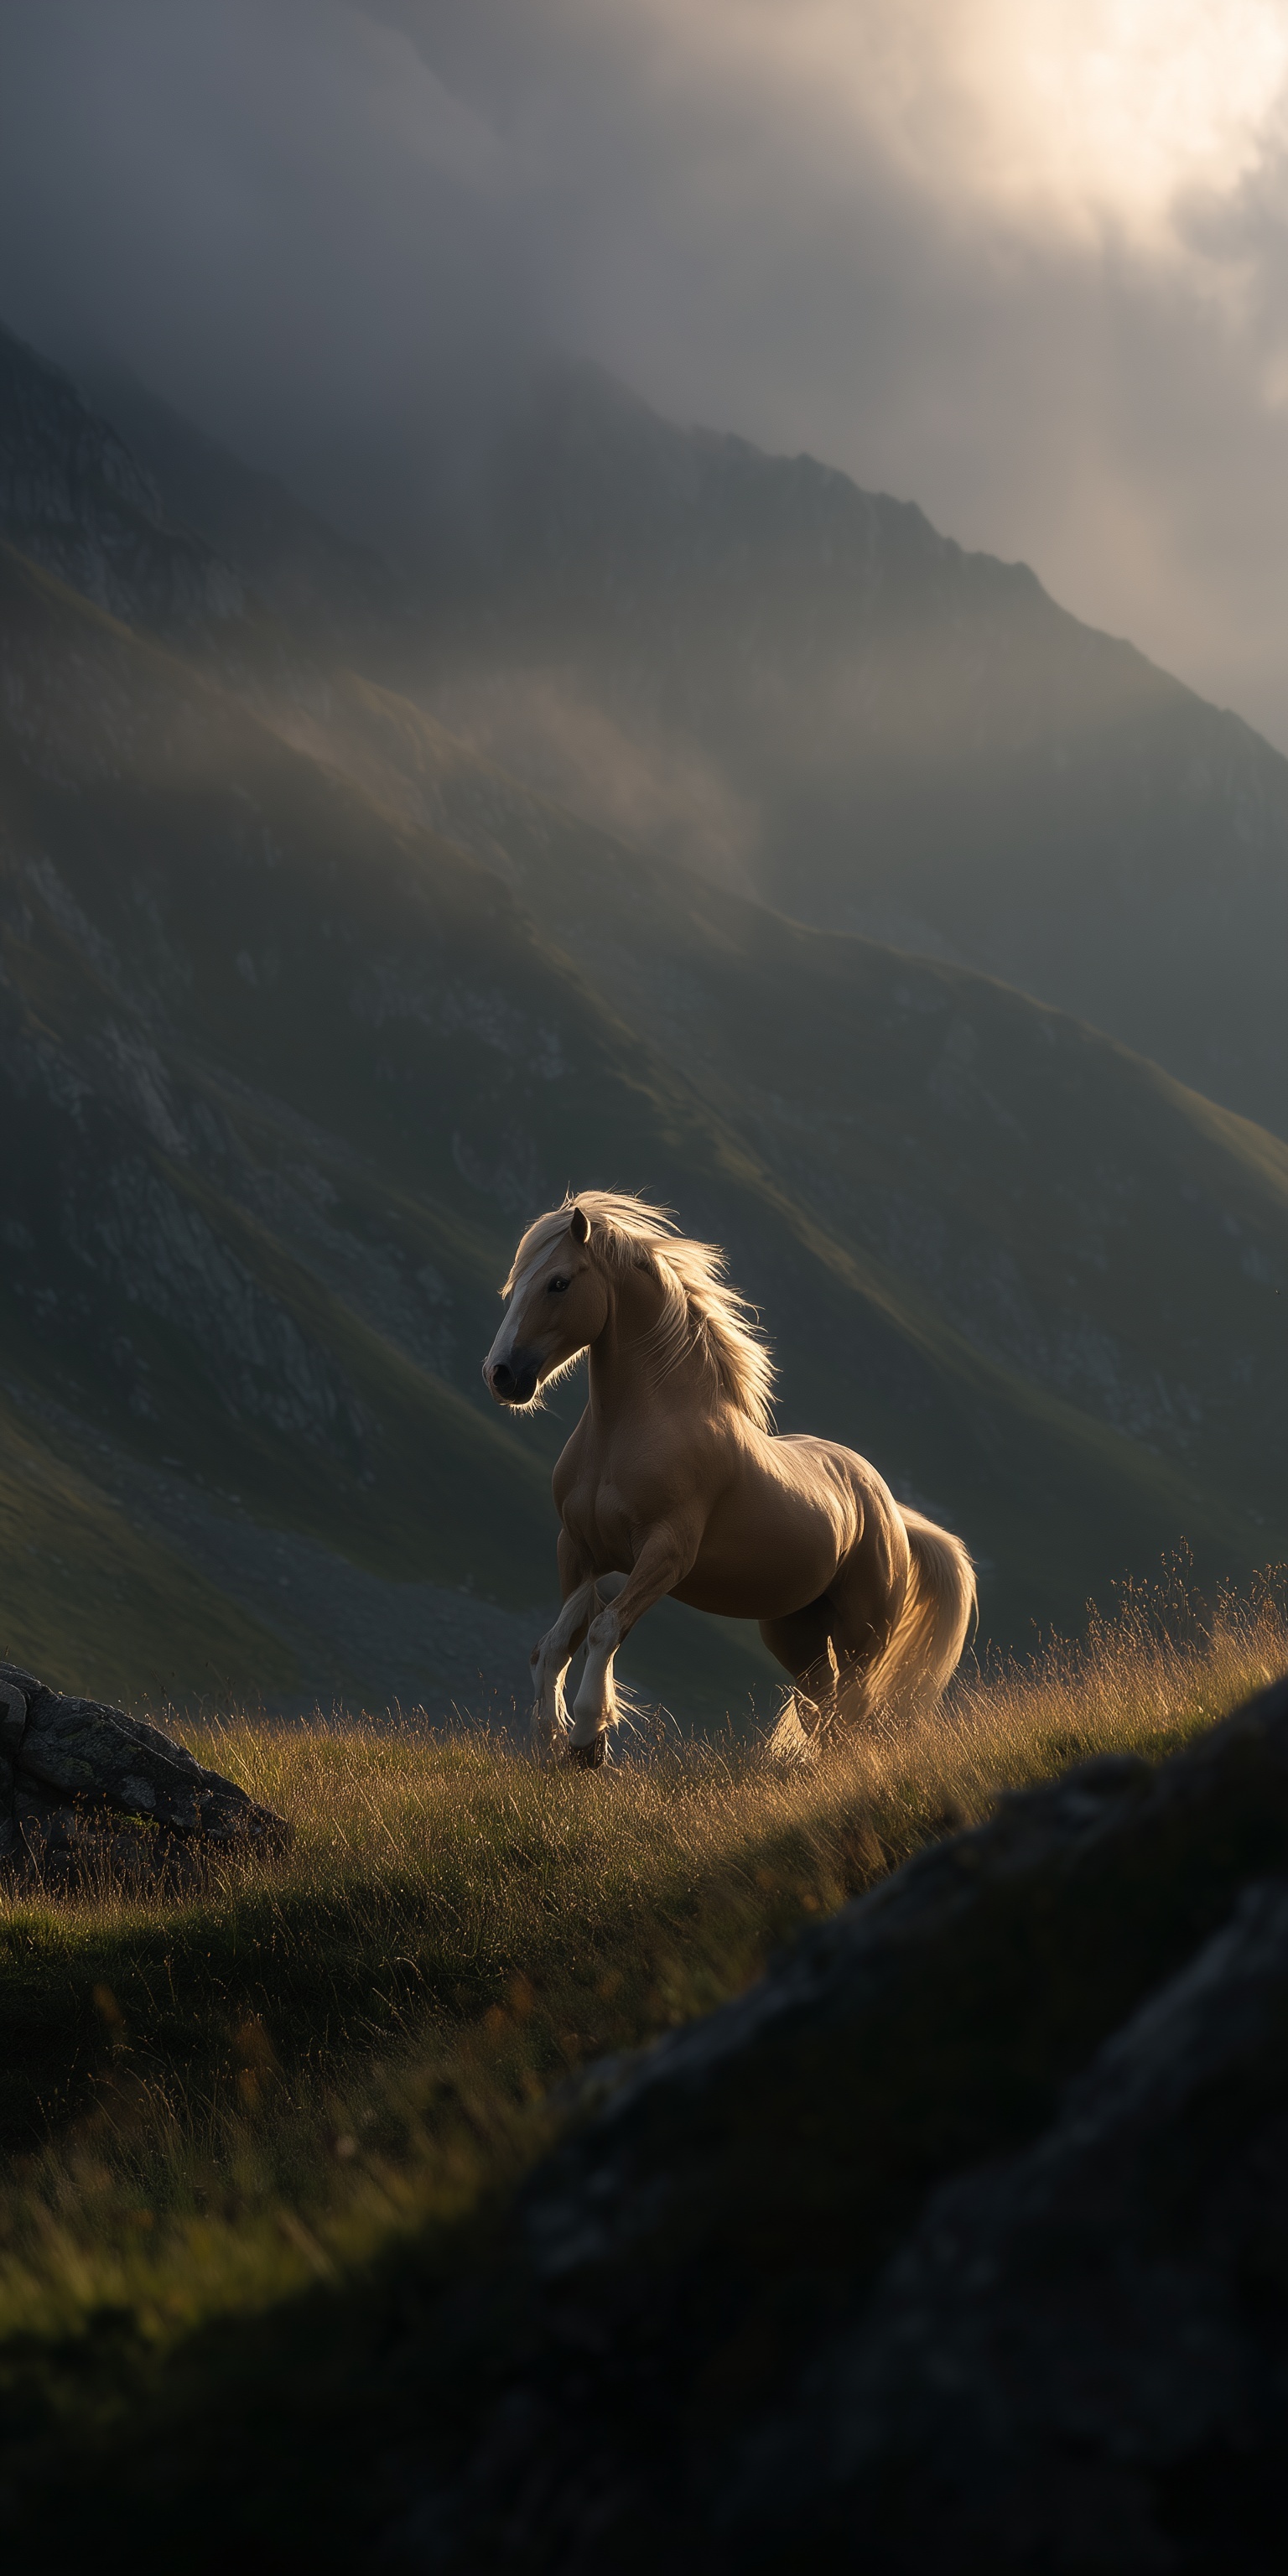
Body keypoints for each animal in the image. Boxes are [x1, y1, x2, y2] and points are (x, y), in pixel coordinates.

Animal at [483, 1190, 976, 1767]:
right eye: (517, 1284)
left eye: (558, 1282)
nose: (501, 1375)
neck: (629, 1432)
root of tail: (891, 1510)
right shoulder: (580, 1550)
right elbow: (555, 1644)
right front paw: (549, 1744)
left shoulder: (665, 1553)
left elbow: (604, 1631)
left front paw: (586, 1739)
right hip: (796, 1634)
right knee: (821, 1706)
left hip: (863, 1632)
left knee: (853, 1707)